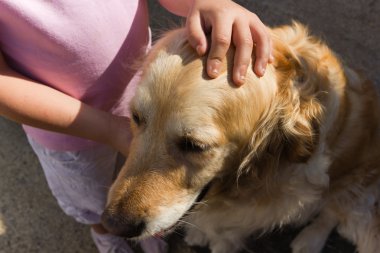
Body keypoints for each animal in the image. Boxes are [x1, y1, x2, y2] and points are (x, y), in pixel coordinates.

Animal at [102, 22, 380, 253]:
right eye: (137, 117)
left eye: (195, 145)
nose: (112, 225)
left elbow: (225, 235)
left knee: (334, 213)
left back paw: (310, 240)